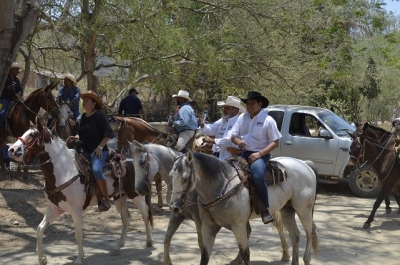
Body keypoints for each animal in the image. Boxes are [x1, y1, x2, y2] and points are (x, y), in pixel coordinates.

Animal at [9, 124, 155, 264]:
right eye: (24, 132)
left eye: (33, 135)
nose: (12, 150)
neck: (64, 171)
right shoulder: (54, 209)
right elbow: (40, 229)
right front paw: (42, 258)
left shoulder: (76, 210)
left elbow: (78, 233)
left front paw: (79, 258)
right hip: (120, 198)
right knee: (126, 218)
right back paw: (118, 246)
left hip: (136, 195)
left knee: (145, 212)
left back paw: (148, 242)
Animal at [130, 141, 292, 262]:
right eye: (133, 164)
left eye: (142, 162)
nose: (139, 190)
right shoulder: (177, 214)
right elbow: (167, 238)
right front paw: (167, 262)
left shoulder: (198, 219)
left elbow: (201, 243)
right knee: (250, 232)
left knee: (279, 226)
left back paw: (285, 254)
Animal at [170, 151, 318, 264]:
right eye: (171, 176)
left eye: (185, 179)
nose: (174, 206)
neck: (221, 187)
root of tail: (305, 164)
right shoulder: (208, 227)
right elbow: (205, 256)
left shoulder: (239, 226)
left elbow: (245, 253)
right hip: (287, 210)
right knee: (295, 236)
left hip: (303, 209)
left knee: (310, 232)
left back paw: (306, 259)